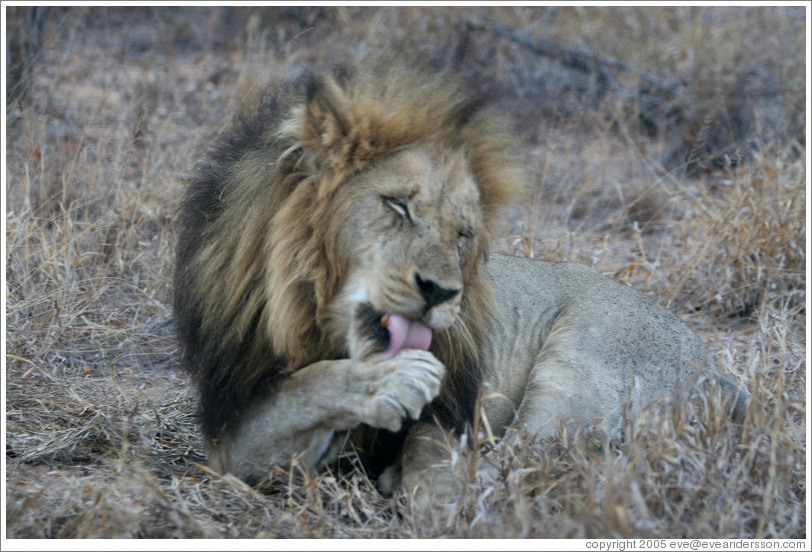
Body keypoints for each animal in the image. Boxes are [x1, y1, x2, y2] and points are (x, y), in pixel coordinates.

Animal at [174, 63, 748, 505]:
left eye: (463, 233)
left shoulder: (453, 410)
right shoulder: (231, 435)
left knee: (515, 460)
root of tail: (720, 368)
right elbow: (302, 392)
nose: (443, 293)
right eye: (399, 206)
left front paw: (436, 497)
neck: (312, 319)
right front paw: (386, 383)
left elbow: (433, 454)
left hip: (578, 368)